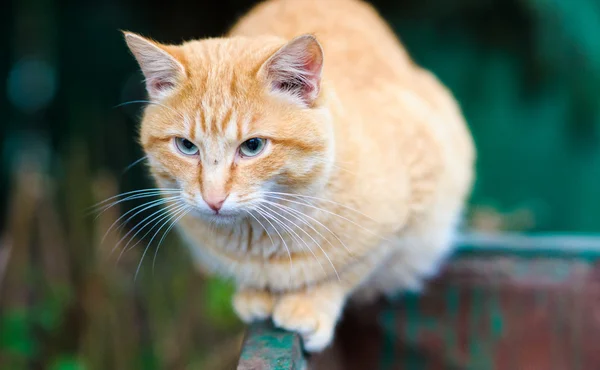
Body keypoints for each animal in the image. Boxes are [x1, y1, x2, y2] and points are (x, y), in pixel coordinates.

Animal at [124, 0, 476, 352]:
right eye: (186, 146)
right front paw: (254, 295)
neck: (260, 240)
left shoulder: (409, 213)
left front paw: (309, 306)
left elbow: (343, 273)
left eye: (253, 146)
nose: (213, 199)